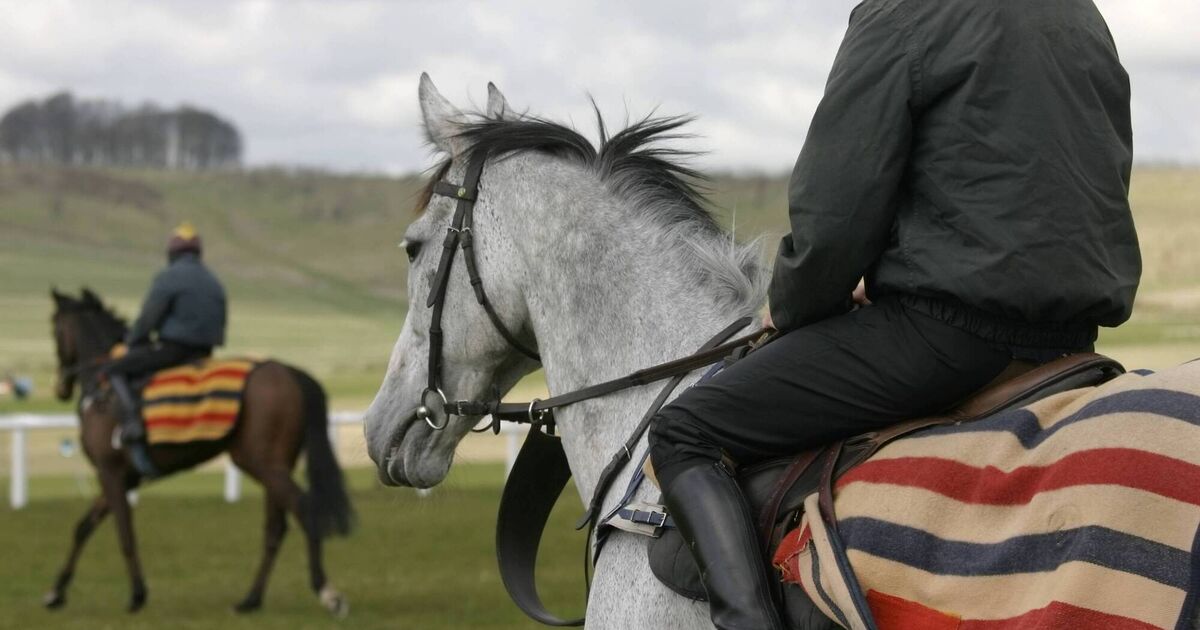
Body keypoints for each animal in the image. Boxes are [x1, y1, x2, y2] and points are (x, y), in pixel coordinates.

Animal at [46, 287, 352, 616]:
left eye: (55, 328)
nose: (61, 388)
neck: (104, 389)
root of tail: (287, 371)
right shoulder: (122, 478)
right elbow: (83, 527)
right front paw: (56, 592)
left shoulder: (110, 472)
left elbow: (125, 533)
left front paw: (137, 594)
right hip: (276, 465)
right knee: (276, 528)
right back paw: (251, 599)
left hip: (261, 463)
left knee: (304, 510)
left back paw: (328, 593)